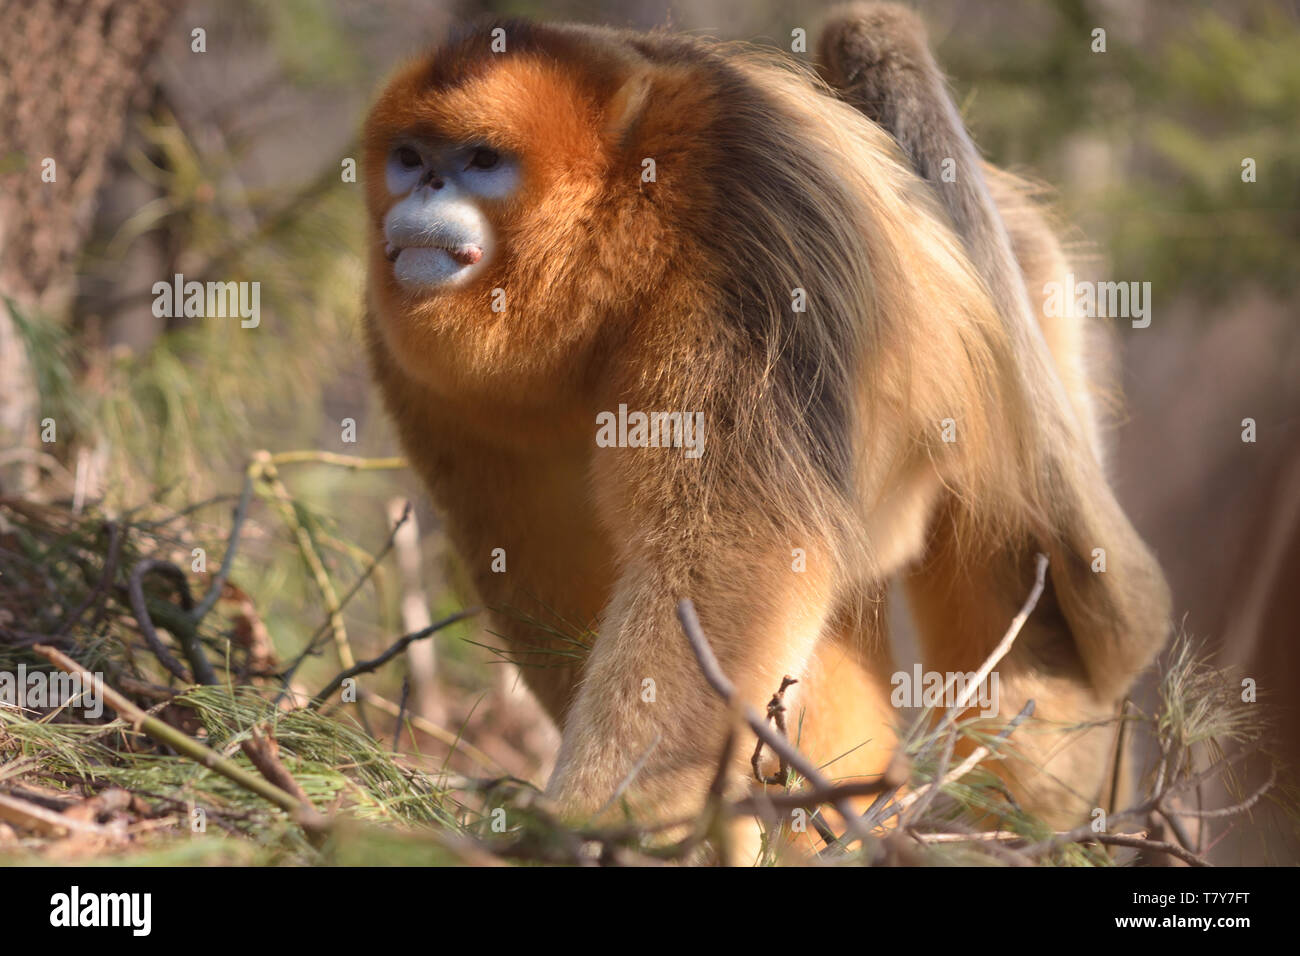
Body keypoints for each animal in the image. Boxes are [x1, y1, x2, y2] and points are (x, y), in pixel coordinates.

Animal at [360, 5, 1170, 855]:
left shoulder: (743, 252)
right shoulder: (410, 363)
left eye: (481, 161)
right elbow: (548, 575)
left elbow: (730, 553)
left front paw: (588, 825)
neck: (623, 228)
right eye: (411, 158)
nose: (428, 185)